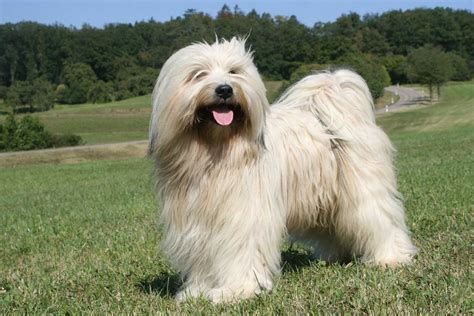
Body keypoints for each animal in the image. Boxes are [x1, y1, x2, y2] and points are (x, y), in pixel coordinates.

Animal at [147, 38, 414, 302]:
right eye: (198, 74)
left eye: (234, 72)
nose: (225, 89)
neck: (216, 151)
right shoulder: (196, 221)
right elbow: (202, 257)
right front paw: (197, 291)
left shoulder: (243, 216)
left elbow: (240, 252)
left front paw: (237, 290)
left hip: (364, 190)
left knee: (380, 220)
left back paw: (391, 257)